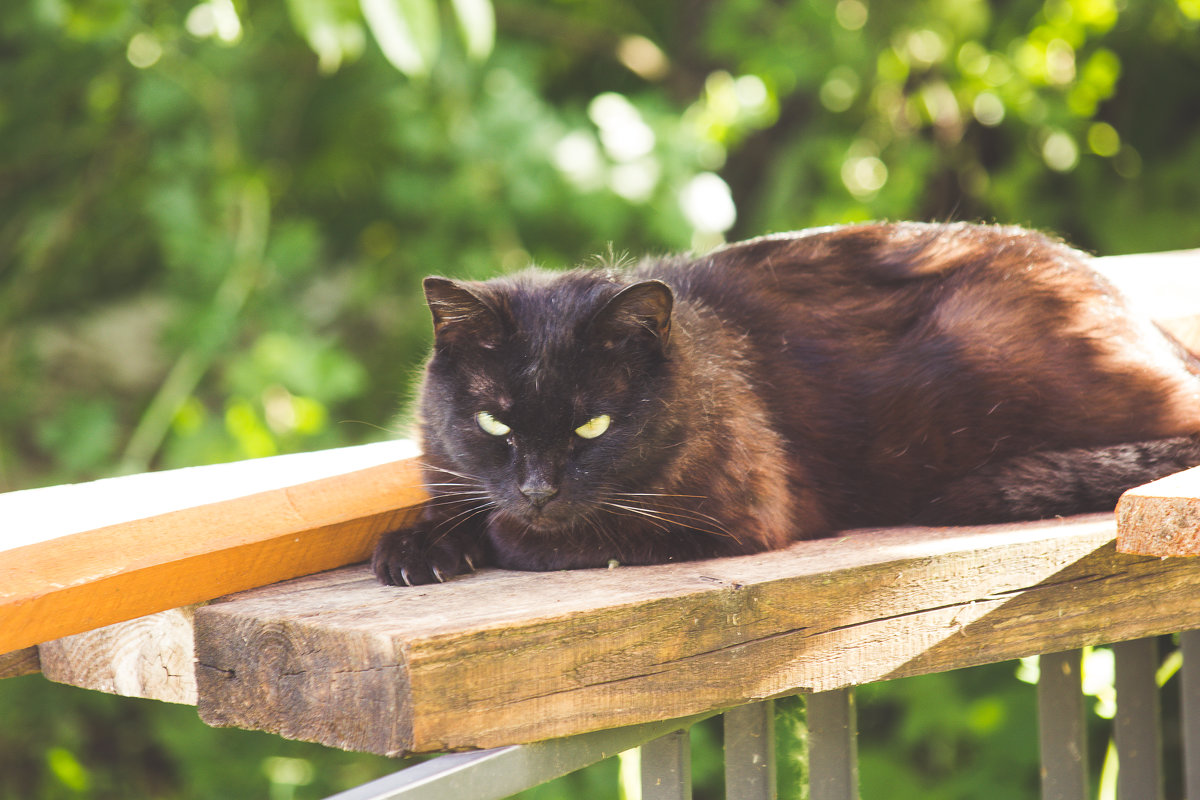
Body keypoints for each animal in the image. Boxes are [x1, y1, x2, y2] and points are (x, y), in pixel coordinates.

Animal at [369, 221, 1195, 585]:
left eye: (593, 424)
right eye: (494, 421)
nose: (537, 490)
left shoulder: (736, 514)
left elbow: (527, 536)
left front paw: (477, 537)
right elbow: (452, 503)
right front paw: (420, 543)